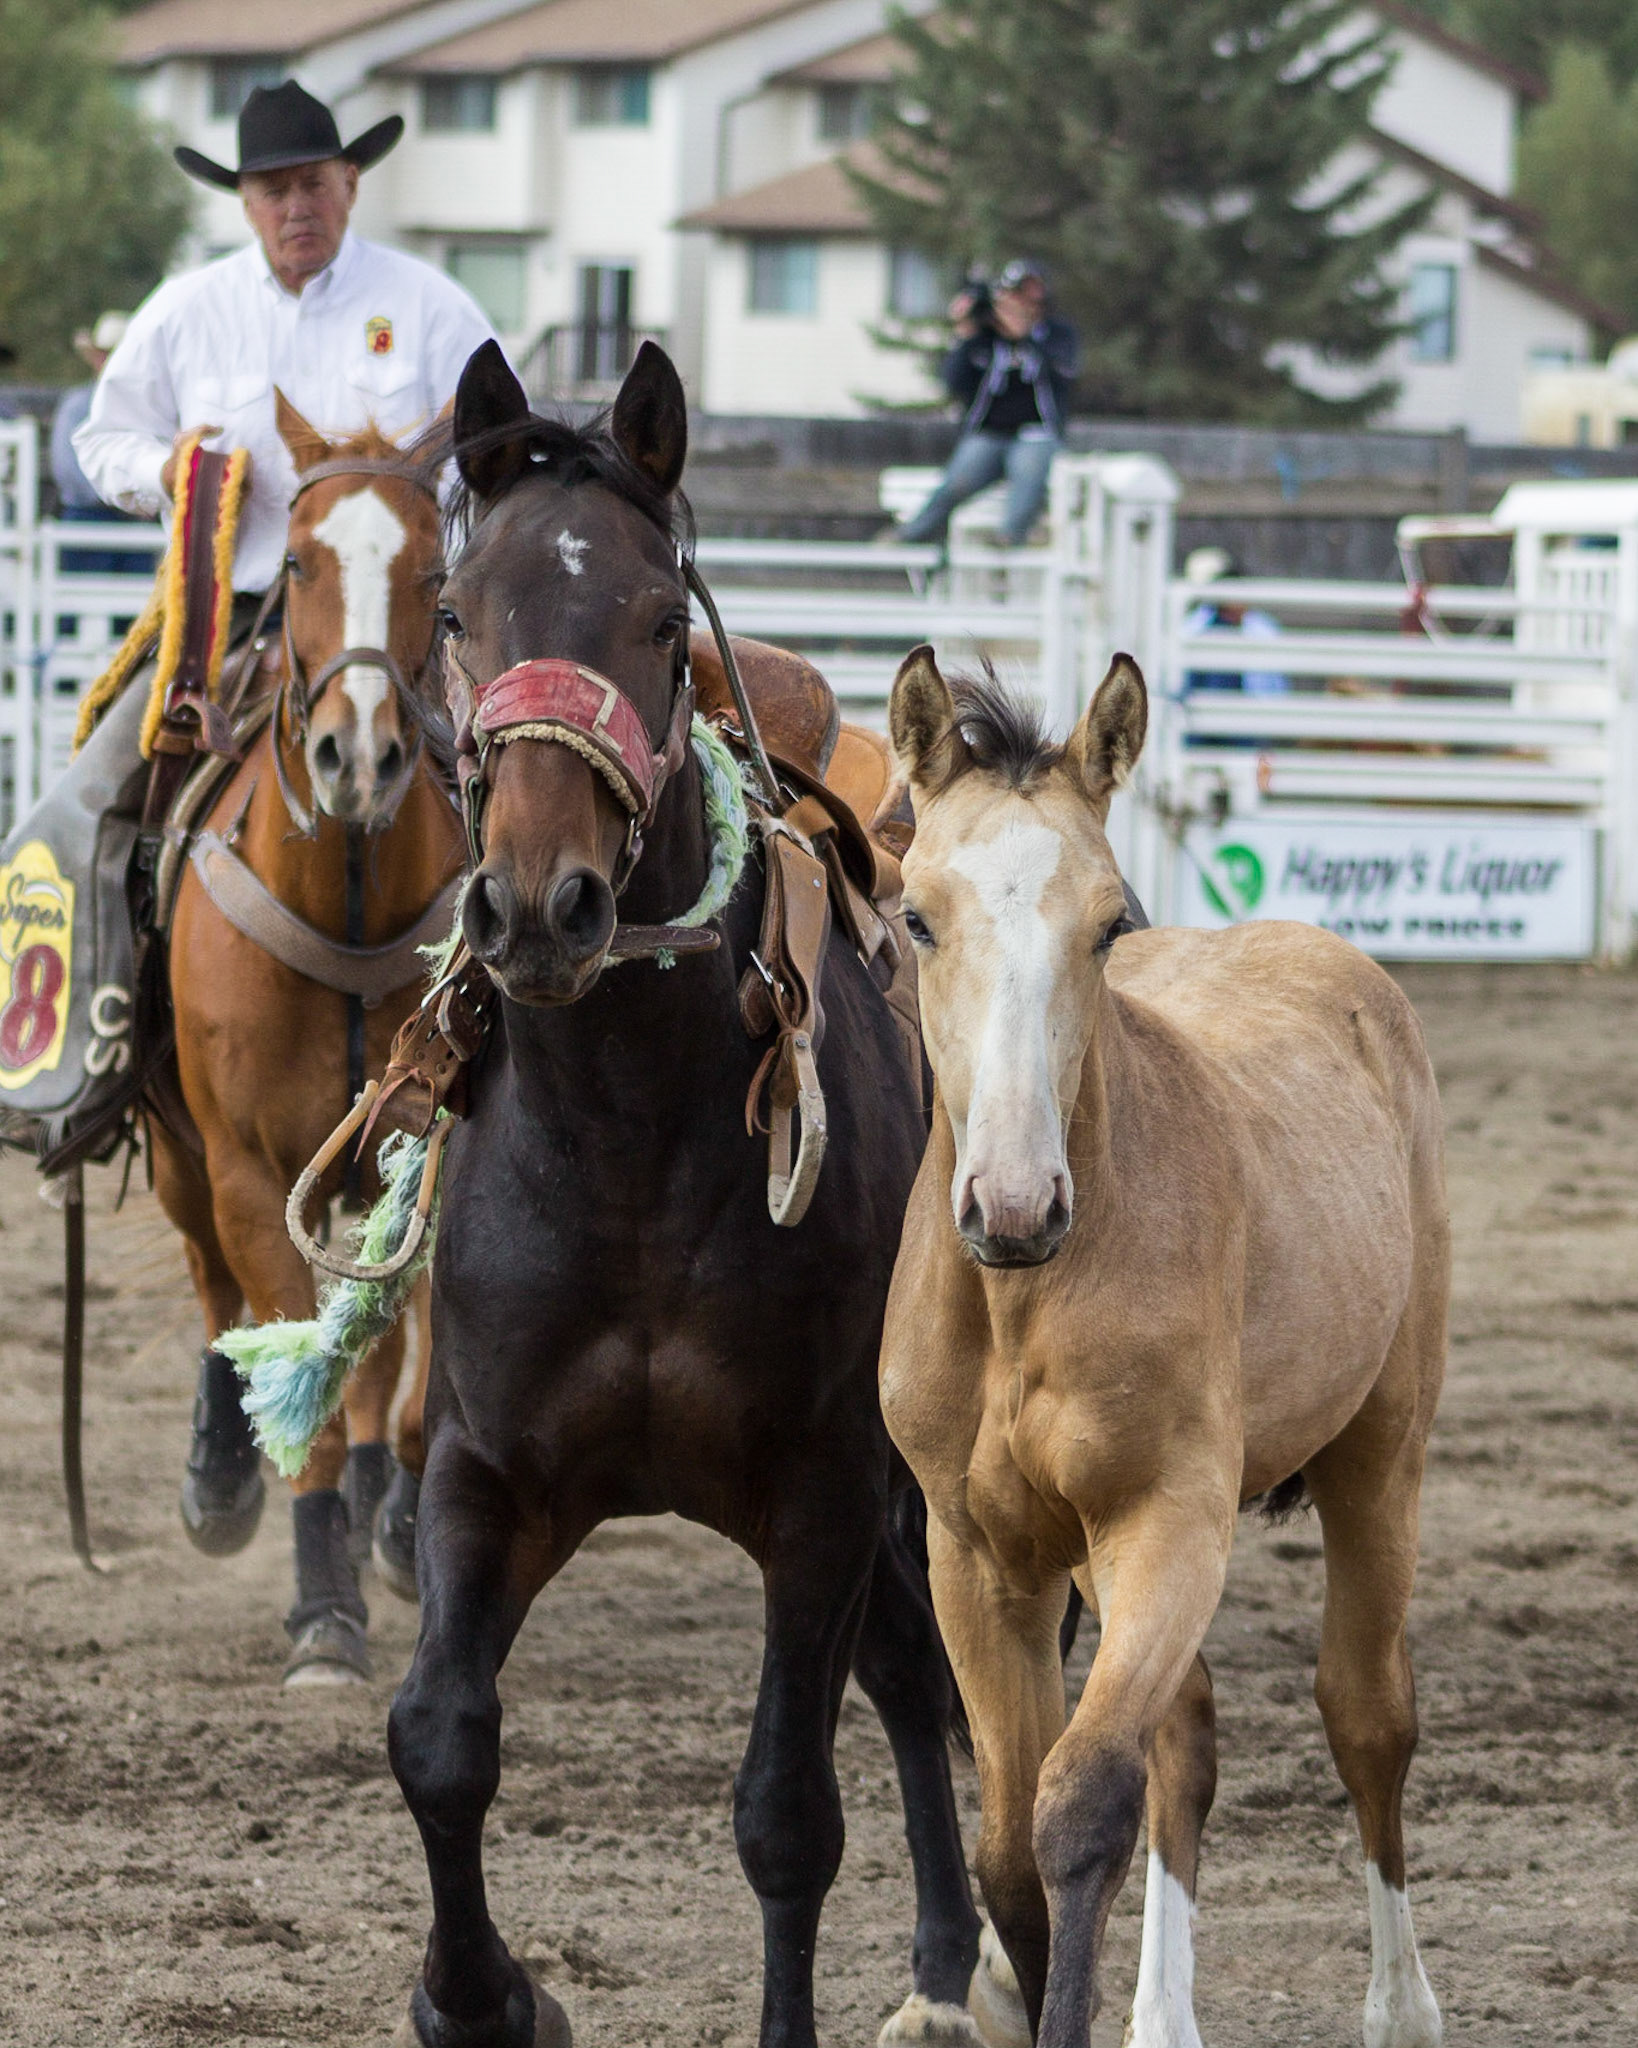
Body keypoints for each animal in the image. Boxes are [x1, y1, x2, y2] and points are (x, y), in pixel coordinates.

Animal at [382, 340, 980, 2048]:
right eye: (460, 612)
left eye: (657, 623)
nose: (539, 905)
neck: (627, 1145)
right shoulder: (485, 1473)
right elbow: (438, 1737)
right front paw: (486, 2000)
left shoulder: (819, 1495)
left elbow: (785, 1817)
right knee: (912, 1676)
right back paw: (942, 1965)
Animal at [878, 649, 1448, 2048]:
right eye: (918, 918)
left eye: (1105, 925)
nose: (1013, 1203)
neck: (1027, 1301)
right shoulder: (982, 1557)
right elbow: (1008, 1848)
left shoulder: (1166, 1517)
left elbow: (1082, 1799)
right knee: (1184, 1736)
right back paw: (1166, 2016)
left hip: (1380, 1457)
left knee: (1366, 1712)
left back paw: (1401, 2004)